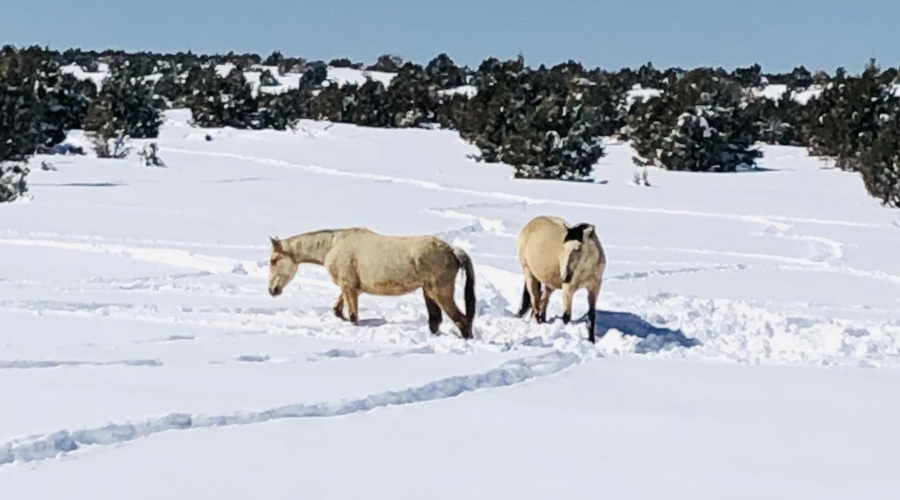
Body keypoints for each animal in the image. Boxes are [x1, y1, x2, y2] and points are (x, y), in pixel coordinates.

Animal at [268, 228, 474, 338]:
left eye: (273, 260)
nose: (272, 290)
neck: (333, 246)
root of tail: (452, 250)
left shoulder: (349, 287)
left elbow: (353, 316)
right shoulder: (352, 289)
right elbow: (337, 310)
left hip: (440, 292)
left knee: (462, 320)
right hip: (428, 292)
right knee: (435, 320)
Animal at [516, 216, 608, 344]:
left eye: (578, 248)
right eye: (563, 248)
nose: (565, 276)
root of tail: (528, 225)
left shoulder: (594, 288)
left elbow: (592, 315)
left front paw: (591, 340)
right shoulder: (568, 288)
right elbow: (566, 316)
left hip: (549, 283)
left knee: (543, 299)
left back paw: (543, 321)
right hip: (529, 273)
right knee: (535, 301)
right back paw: (537, 324)